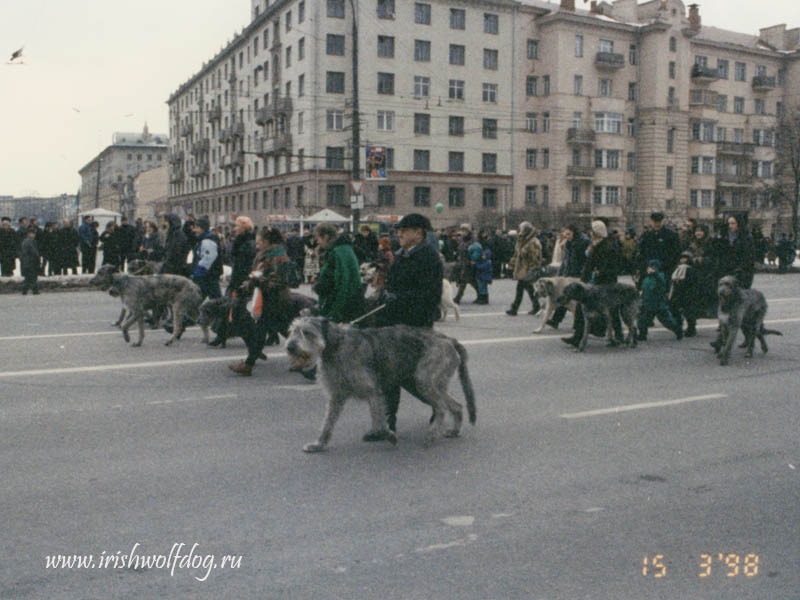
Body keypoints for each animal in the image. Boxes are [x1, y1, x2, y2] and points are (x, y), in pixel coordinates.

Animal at [286, 316, 476, 452]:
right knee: (456, 405)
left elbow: (379, 422)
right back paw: (454, 430)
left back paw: (431, 434)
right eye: (292, 331)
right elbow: (327, 422)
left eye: (307, 332)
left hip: (423, 381)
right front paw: (319, 444)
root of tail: (449, 339)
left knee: (441, 407)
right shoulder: (336, 396)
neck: (336, 345)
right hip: (428, 383)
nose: (289, 347)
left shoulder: (373, 391)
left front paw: (388, 435)